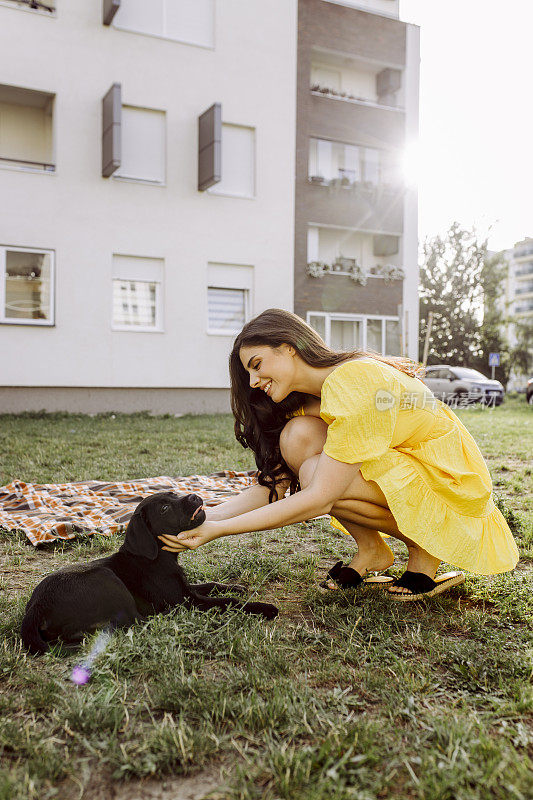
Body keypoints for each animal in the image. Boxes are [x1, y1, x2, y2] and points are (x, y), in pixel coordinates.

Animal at [20, 490, 278, 652]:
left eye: (173, 494)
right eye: (164, 508)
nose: (195, 496)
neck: (156, 559)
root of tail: (34, 609)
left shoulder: (185, 587)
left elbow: (211, 585)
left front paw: (236, 586)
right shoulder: (186, 601)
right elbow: (228, 602)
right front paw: (263, 608)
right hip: (107, 579)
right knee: (135, 622)